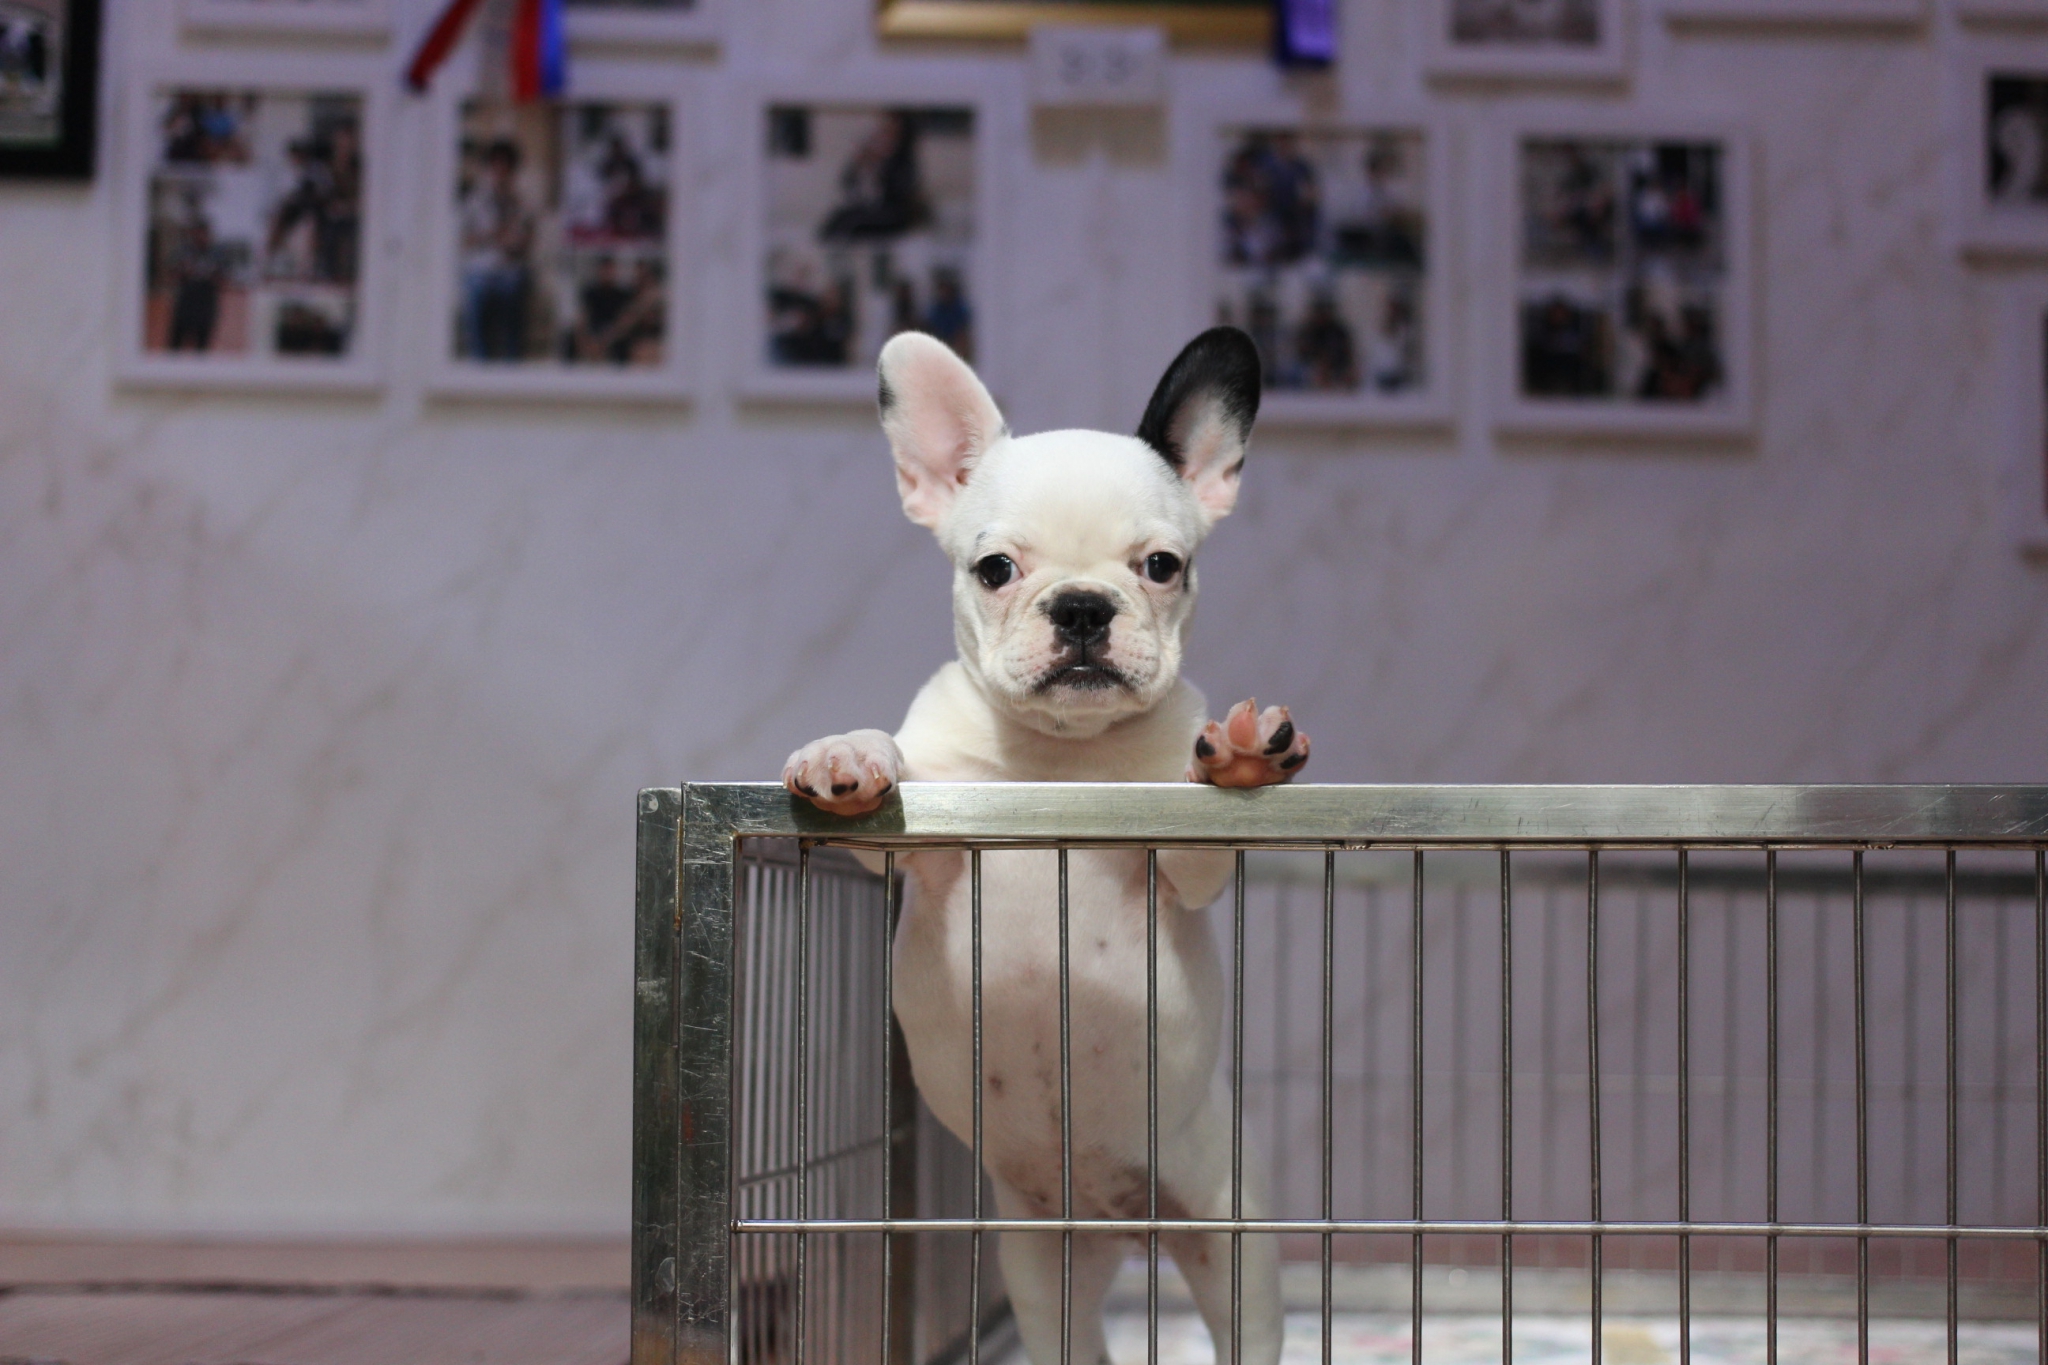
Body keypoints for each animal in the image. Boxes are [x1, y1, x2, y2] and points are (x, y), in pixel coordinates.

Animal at [783, 327, 1306, 1365]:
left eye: (1162, 565)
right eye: (994, 569)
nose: (1083, 607)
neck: (1061, 755)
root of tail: (1123, 1224)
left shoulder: (1181, 868)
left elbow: (1199, 838)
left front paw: (1234, 758)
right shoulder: (919, 849)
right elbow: (881, 789)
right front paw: (844, 751)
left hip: (1234, 1241)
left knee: (1247, 1324)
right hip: (1036, 1259)